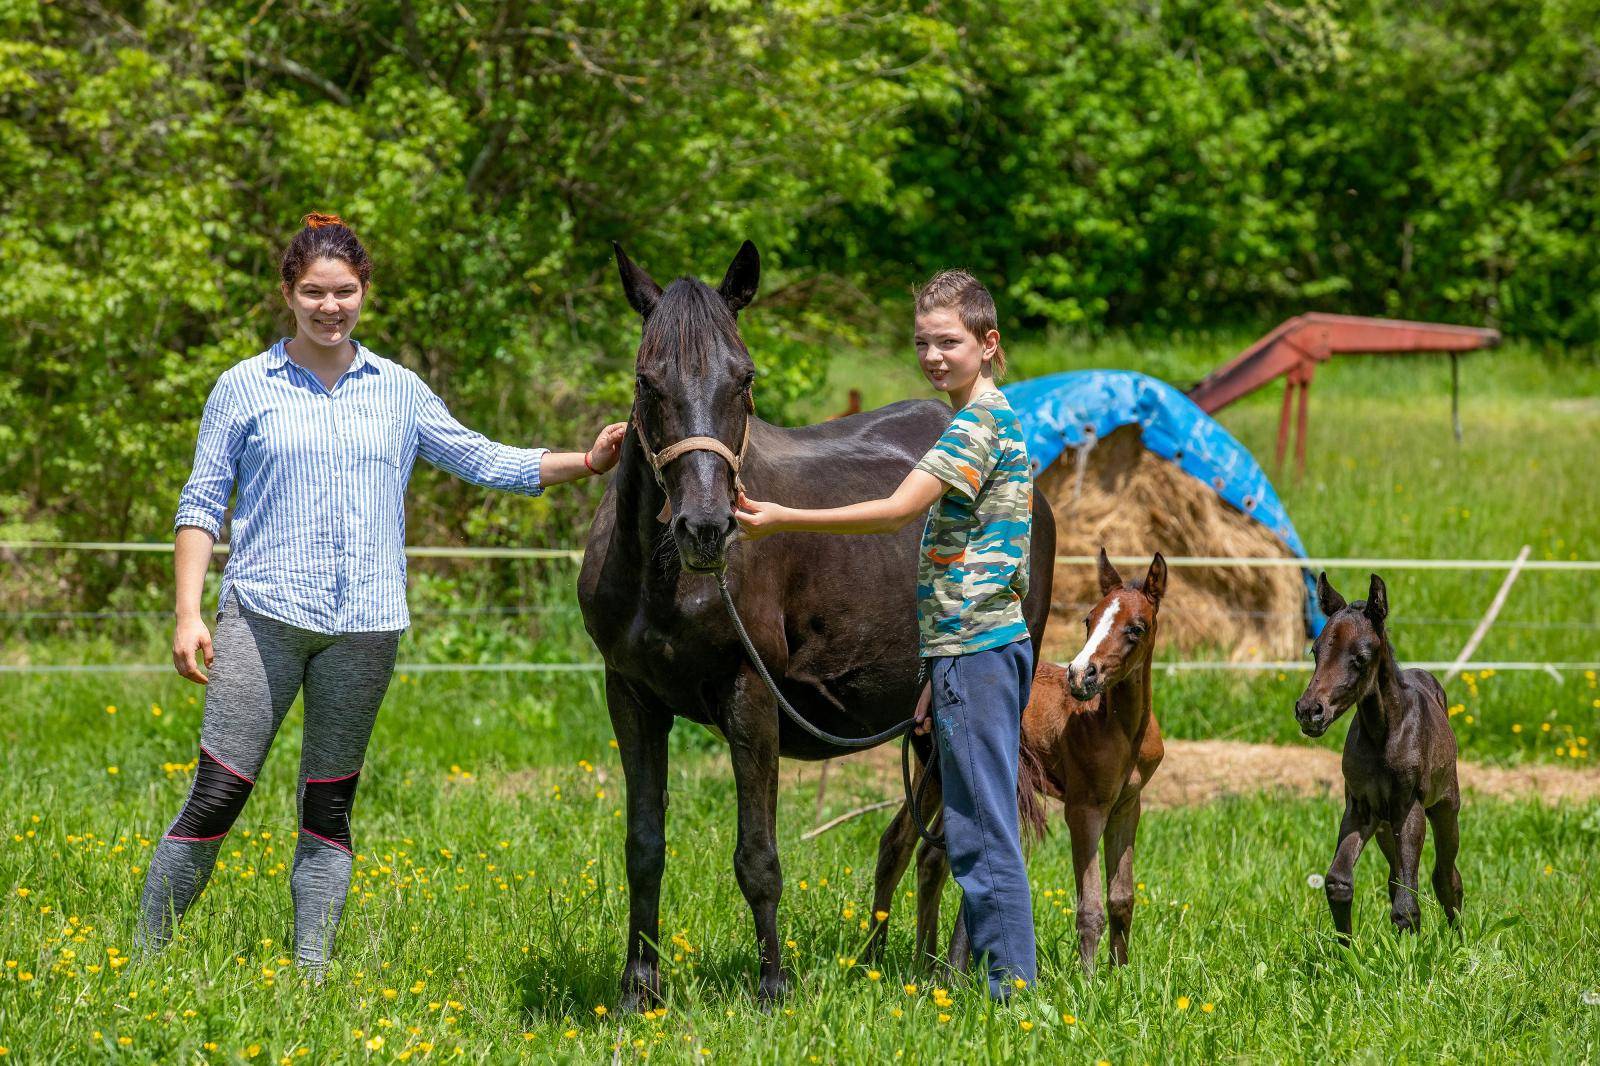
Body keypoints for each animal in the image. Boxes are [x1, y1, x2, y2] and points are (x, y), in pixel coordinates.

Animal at [870, 547, 1171, 973]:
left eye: (1137, 628)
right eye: (1089, 620)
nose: (1080, 675)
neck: (1118, 726)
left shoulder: (1127, 806)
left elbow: (1121, 899)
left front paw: (1120, 973)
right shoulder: (1084, 808)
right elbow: (1090, 907)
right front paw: (1090, 980)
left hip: (936, 779)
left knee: (911, 850)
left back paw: (909, 963)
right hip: (948, 777)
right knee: (919, 852)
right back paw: (897, 962)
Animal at [1299, 573, 1465, 941]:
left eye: (1360, 657)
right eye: (1316, 650)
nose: (1308, 711)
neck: (1381, 734)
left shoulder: (1408, 807)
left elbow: (1407, 902)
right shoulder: (1361, 808)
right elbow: (1338, 882)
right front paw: (1346, 950)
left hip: (1445, 807)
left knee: (1446, 877)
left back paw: (1460, 942)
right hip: (1385, 828)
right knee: (1396, 877)